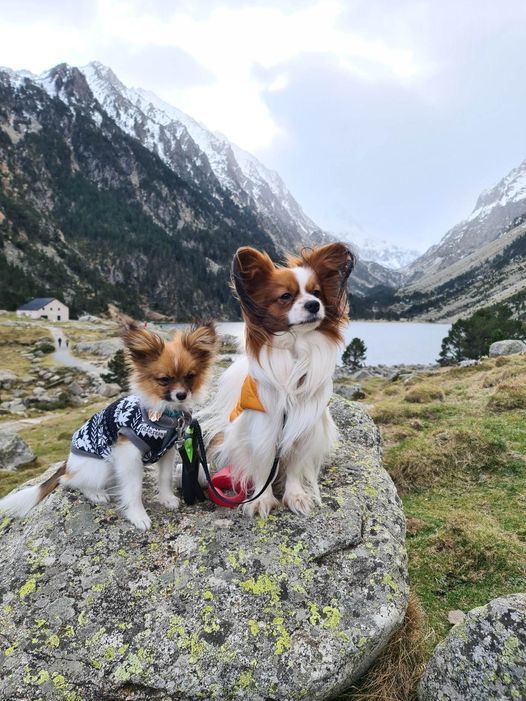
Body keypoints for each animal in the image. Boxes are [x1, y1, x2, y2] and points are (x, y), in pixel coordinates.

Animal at [0, 312, 219, 532]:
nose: (181, 395)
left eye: (190, 376)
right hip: (101, 465)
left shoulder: (167, 452)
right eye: (164, 380)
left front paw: (166, 498)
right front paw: (138, 515)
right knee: (68, 480)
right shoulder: (129, 454)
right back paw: (95, 493)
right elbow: (133, 489)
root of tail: (68, 463)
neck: (162, 413)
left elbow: (164, 477)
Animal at [201, 243, 354, 516]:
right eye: (285, 296)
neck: (296, 350)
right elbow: (263, 466)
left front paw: (296, 496)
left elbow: (295, 464)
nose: (314, 305)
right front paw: (261, 499)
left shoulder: (303, 424)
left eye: (317, 293)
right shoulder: (263, 426)